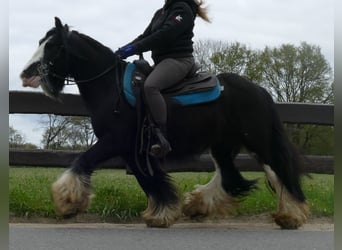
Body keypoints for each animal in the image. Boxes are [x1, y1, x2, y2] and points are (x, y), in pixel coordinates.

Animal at [21, 17, 310, 229]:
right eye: (41, 41)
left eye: (53, 46)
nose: (25, 74)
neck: (111, 88)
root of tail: (259, 90)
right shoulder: (133, 150)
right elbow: (150, 180)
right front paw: (162, 213)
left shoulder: (116, 141)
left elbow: (84, 161)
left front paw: (67, 202)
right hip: (222, 145)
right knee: (230, 177)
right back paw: (198, 205)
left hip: (258, 141)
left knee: (278, 171)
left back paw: (292, 215)